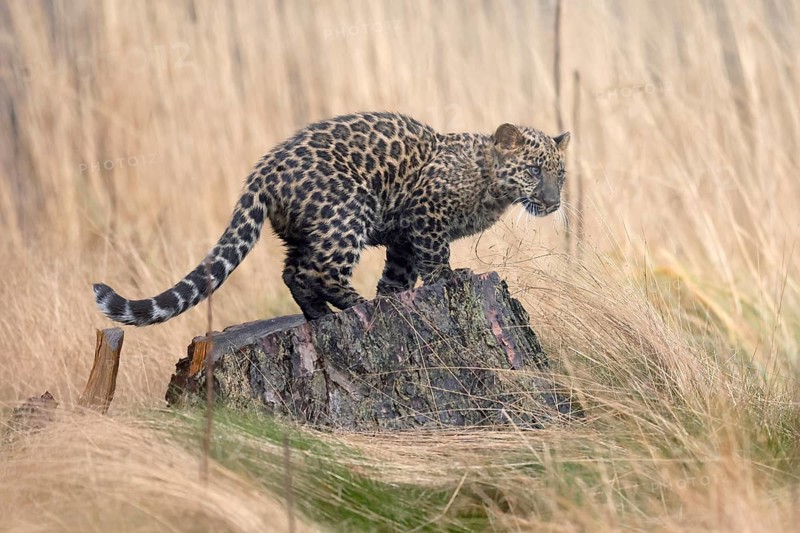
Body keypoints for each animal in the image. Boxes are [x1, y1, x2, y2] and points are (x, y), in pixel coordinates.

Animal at [93, 112, 570, 325]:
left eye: (560, 175)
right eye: (532, 171)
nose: (552, 201)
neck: (489, 182)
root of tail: (262, 171)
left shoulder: (403, 237)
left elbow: (398, 274)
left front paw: (392, 297)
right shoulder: (425, 215)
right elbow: (434, 259)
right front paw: (448, 279)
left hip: (305, 230)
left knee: (292, 271)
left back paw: (321, 314)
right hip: (348, 210)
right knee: (317, 270)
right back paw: (354, 306)